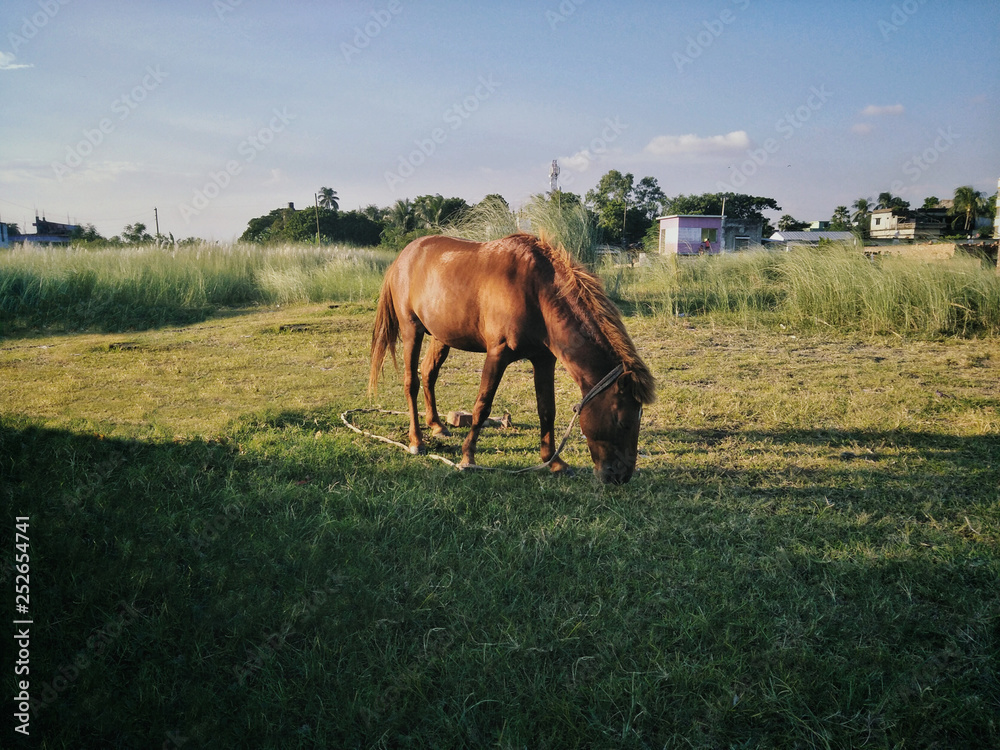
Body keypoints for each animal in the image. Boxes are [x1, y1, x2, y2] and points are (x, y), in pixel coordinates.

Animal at [370, 232, 656, 484]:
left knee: (429, 374)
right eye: (624, 422)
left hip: (441, 337)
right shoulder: (498, 354)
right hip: (412, 331)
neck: (536, 291)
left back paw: (437, 426)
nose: (621, 477)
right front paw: (468, 457)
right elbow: (482, 405)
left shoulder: (543, 359)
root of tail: (402, 258)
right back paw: (416, 441)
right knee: (412, 382)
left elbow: (547, 409)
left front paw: (553, 462)